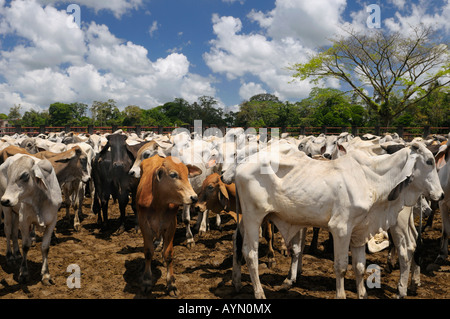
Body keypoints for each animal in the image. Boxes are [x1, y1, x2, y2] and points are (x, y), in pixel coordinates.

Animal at [0, 154, 61, 284]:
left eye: (25, 175)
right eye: (9, 174)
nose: (5, 200)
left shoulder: (52, 222)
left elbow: (45, 247)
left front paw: (46, 274)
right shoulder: (24, 221)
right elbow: (26, 245)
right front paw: (23, 272)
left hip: (15, 212)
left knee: (14, 232)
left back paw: (17, 254)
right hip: (7, 210)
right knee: (8, 230)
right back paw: (10, 257)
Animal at [136, 156, 201, 298]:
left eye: (187, 174)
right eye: (173, 175)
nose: (194, 197)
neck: (158, 204)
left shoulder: (171, 224)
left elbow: (169, 254)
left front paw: (171, 284)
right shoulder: (144, 225)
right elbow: (148, 252)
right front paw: (147, 281)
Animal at [230, 143, 442, 300]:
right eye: (429, 161)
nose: (440, 195)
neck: (371, 179)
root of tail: (241, 165)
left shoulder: (360, 231)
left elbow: (359, 266)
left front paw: (362, 294)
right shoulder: (341, 229)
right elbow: (341, 267)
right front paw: (341, 295)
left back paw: (237, 283)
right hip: (253, 217)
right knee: (250, 253)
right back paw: (259, 293)